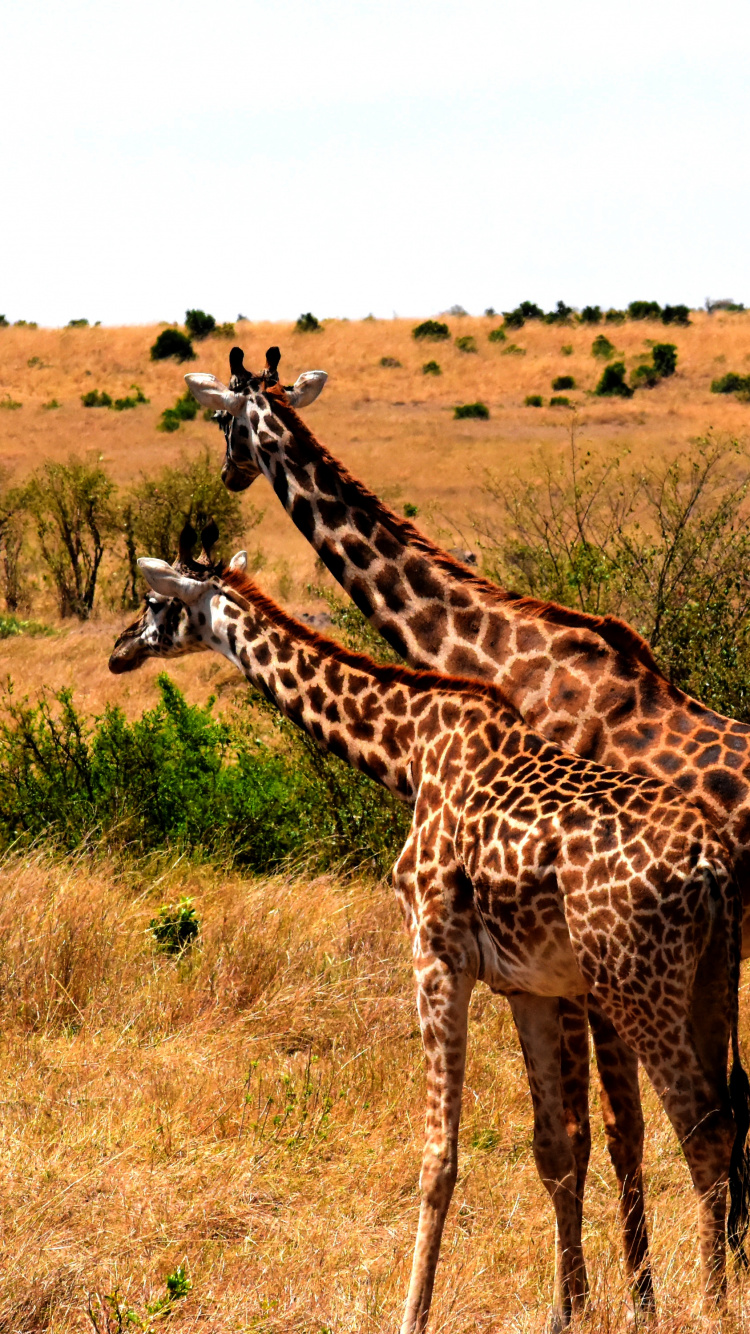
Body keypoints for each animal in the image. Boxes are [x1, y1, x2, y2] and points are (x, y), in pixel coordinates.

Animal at [183, 348, 750, 1315]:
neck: (504, 658)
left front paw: (626, 1301)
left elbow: (608, 1129)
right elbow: (597, 1132)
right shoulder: (560, 966)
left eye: (222, 422)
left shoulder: (567, 960)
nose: (225, 474)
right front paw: (622, 1296)